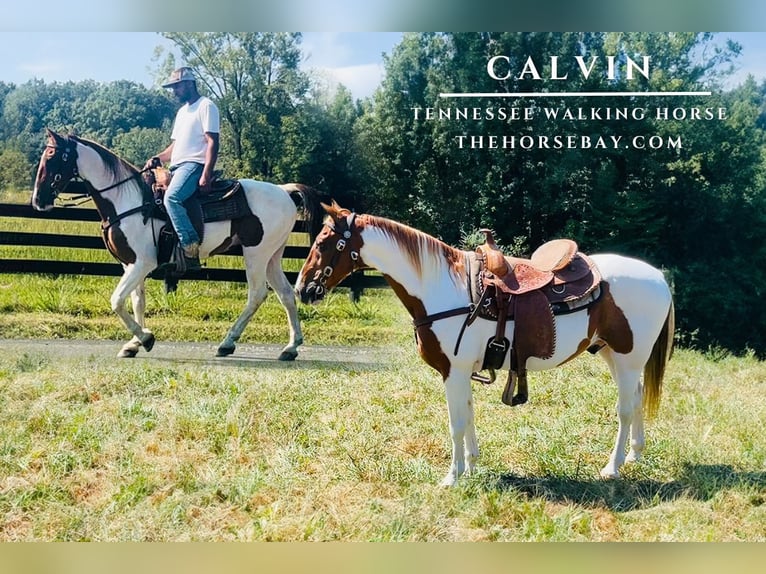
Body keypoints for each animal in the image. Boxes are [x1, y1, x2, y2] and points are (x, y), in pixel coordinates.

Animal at [29, 132, 324, 360]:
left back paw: (227, 342)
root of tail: (284, 191)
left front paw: (146, 338)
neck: (128, 201)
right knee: (286, 294)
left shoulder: (143, 263)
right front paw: (134, 344)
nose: (38, 200)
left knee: (257, 294)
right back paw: (290, 348)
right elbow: (136, 301)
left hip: (256, 254)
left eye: (52, 157)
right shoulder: (130, 264)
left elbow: (117, 301)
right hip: (273, 255)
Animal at [296, 202, 676, 486]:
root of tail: (659, 277)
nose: (303, 289)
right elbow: (468, 415)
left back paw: (612, 467)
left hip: (627, 359)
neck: (441, 287)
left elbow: (456, 423)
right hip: (614, 355)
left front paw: (452, 477)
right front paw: (471, 466)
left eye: (325, 243)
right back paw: (635, 454)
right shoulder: (461, 372)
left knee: (625, 408)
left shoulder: (453, 372)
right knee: (637, 398)